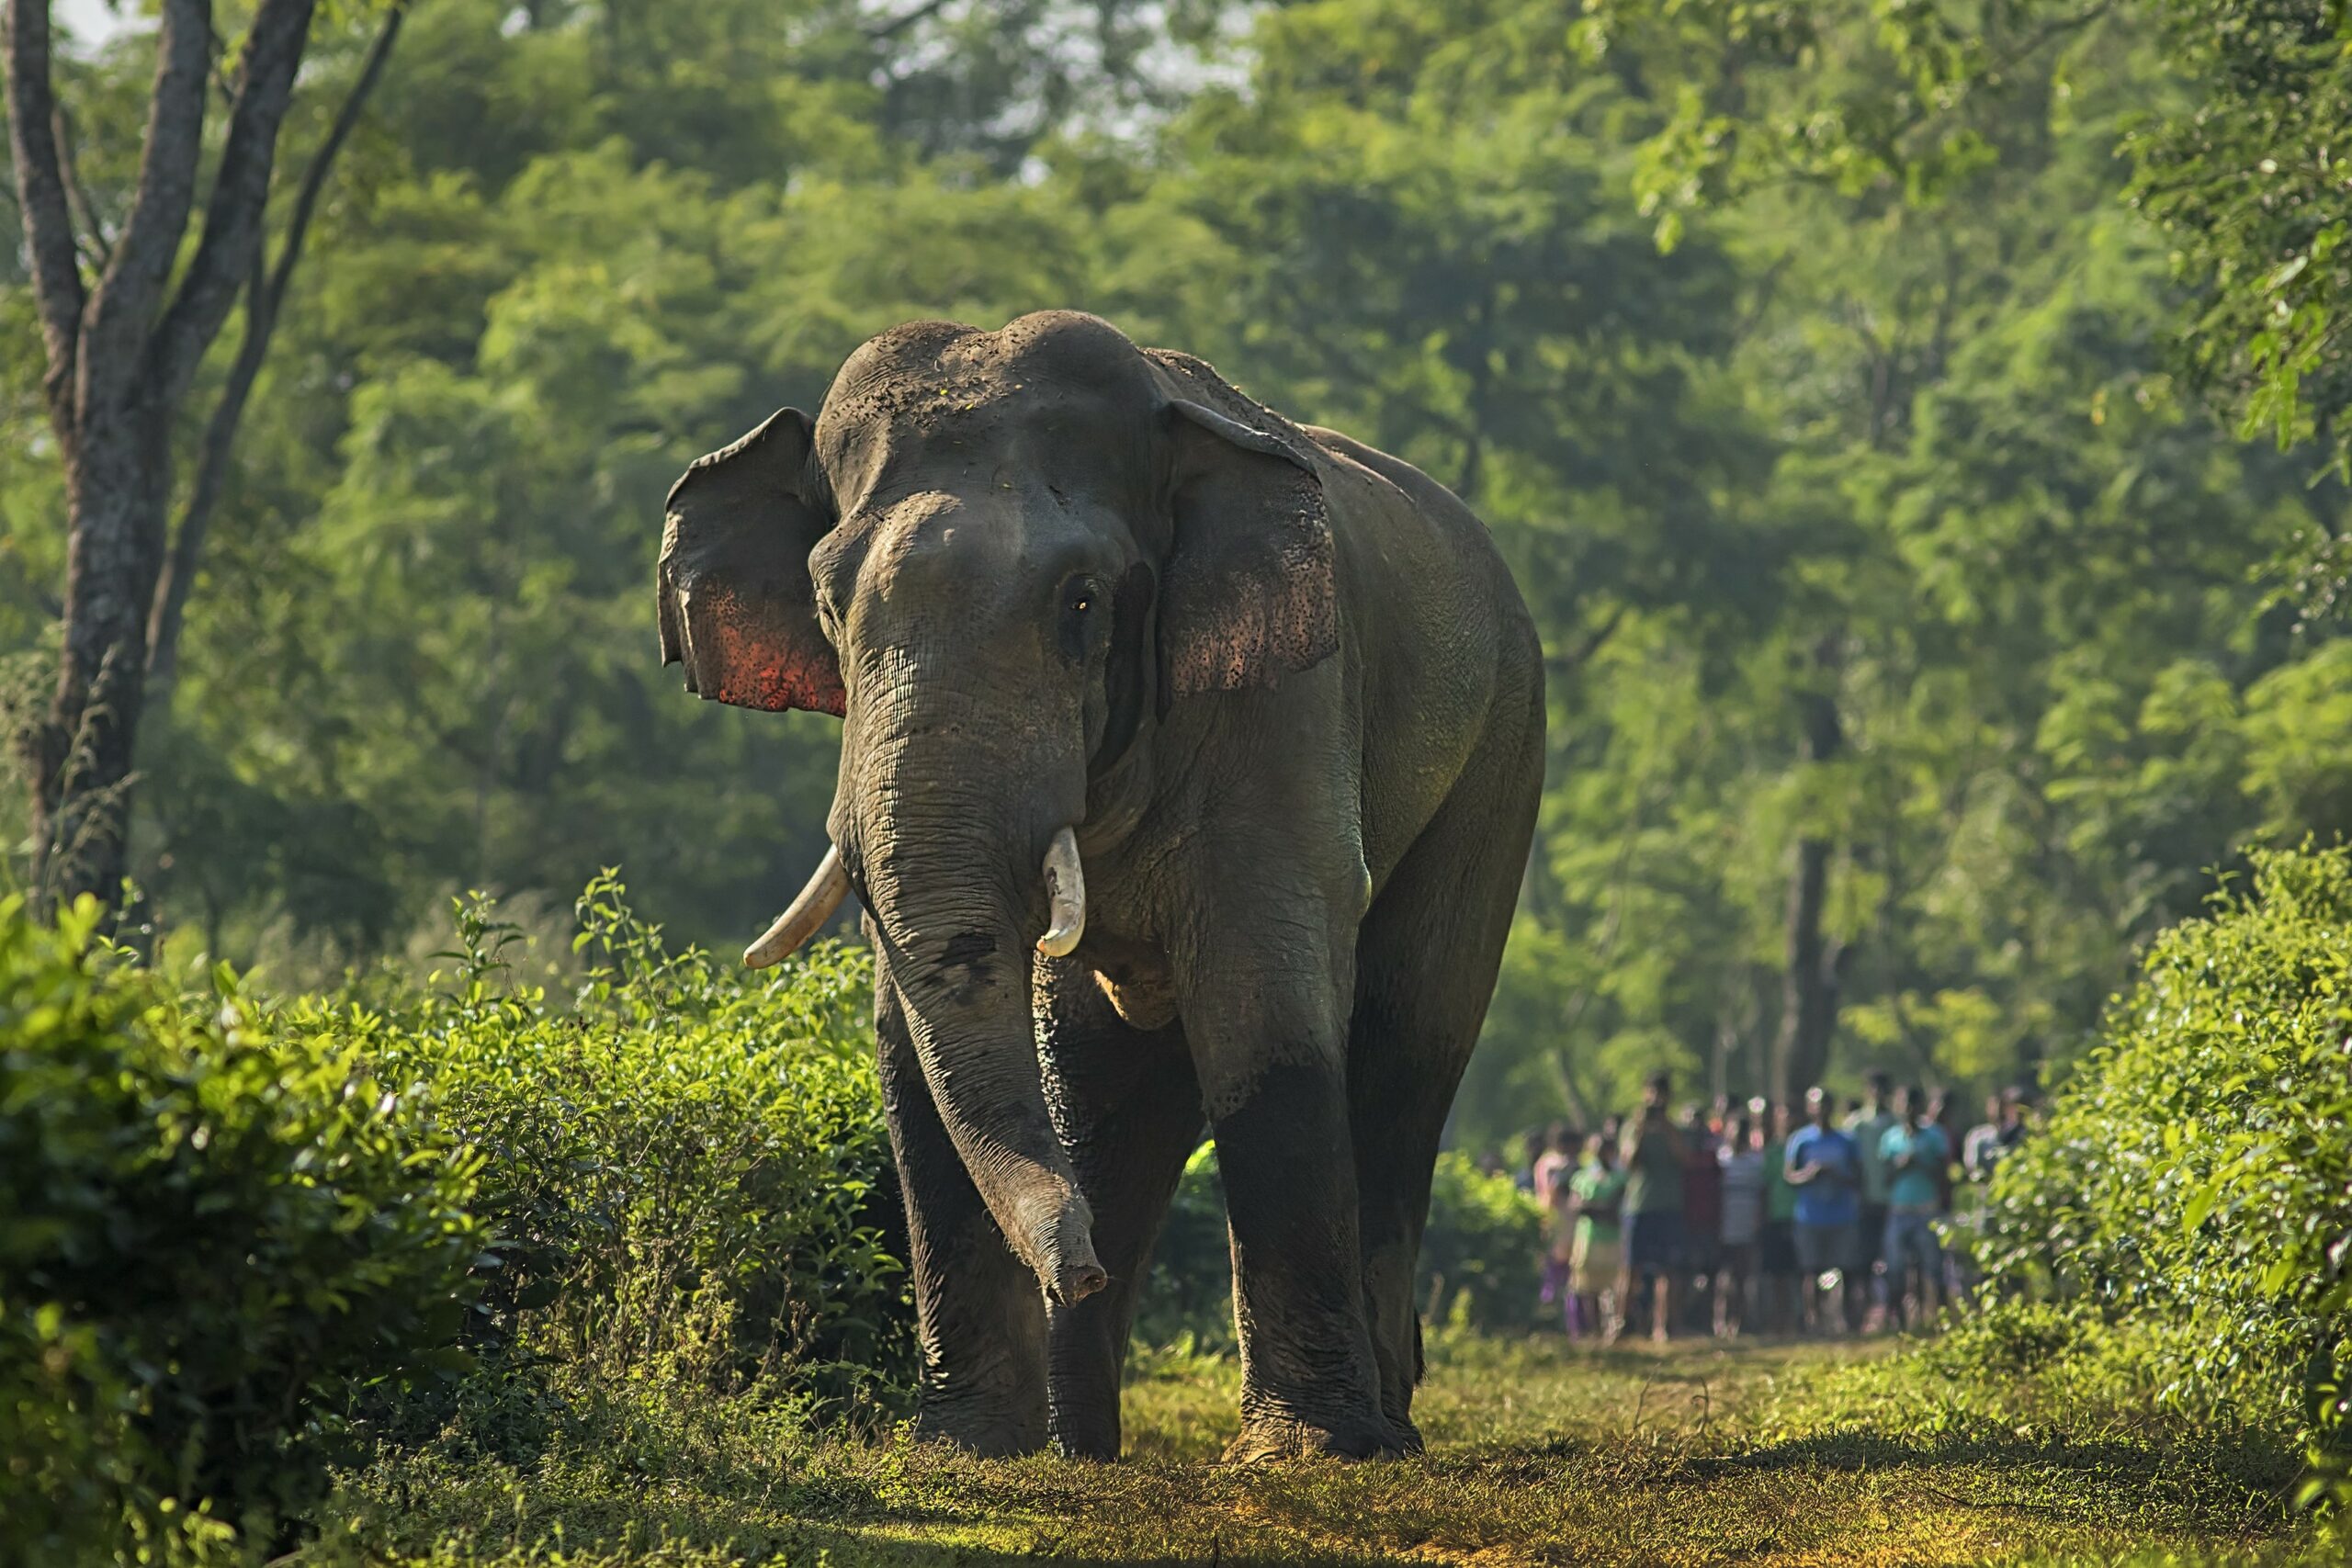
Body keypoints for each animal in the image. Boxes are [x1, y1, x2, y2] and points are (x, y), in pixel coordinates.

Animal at [662, 312, 1543, 1466]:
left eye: (1081, 601)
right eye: (823, 602)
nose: (1073, 1269)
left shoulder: (1286, 708)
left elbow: (1264, 1014)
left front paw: (1305, 1454)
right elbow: (912, 1037)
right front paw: (963, 1449)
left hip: (1502, 753)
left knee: (1404, 1058)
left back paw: (1383, 1430)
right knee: (1112, 1092)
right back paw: (1081, 1443)